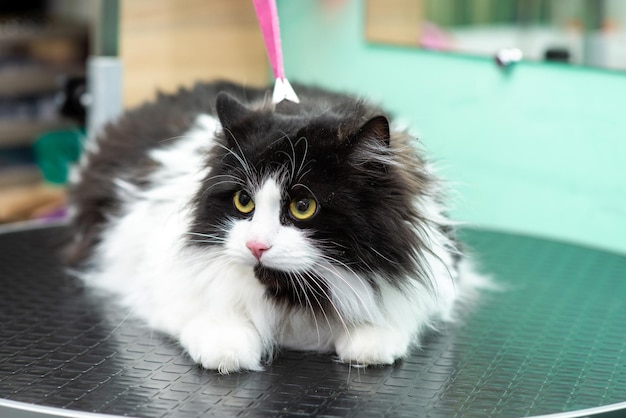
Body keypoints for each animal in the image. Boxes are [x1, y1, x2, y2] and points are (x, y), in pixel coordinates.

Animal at [64, 80, 482, 374]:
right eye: (243, 202)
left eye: (303, 206)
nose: (256, 247)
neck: (293, 293)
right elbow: (212, 319)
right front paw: (228, 352)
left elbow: (391, 323)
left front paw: (369, 344)